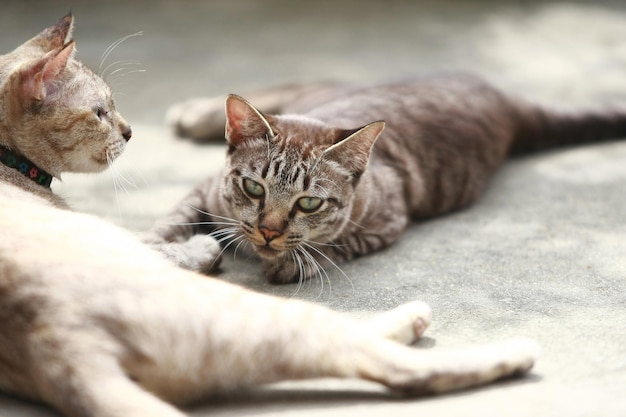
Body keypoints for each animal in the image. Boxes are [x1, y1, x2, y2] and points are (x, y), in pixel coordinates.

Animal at [150, 76, 624, 282]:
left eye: (309, 203)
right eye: (253, 187)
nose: (268, 232)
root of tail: (506, 98)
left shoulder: (390, 220)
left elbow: (336, 246)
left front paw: (293, 262)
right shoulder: (205, 190)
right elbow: (173, 217)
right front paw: (154, 244)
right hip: (314, 91)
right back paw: (196, 112)